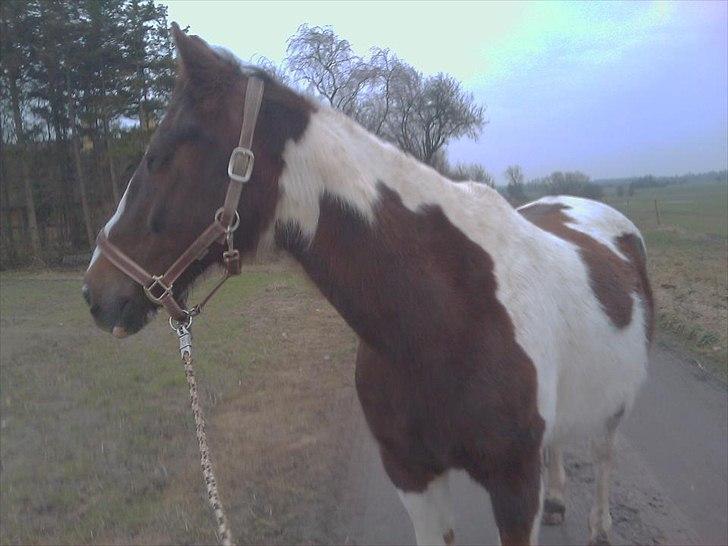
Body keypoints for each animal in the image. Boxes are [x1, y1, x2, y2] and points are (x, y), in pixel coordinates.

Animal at [84, 26, 656, 544]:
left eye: (158, 156)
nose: (95, 293)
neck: (447, 317)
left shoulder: (514, 488)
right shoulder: (412, 476)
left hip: (616, 404)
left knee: (604, 453)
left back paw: (600, 525)